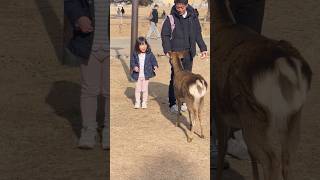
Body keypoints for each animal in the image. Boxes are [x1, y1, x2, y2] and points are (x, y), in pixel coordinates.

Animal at [212, 0, 312, 180]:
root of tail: (283, 64)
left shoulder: (219, 108)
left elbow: (222, 146)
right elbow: (250, 155)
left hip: (253, 112)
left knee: (271, 160)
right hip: (294, 114)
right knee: (287, 159)